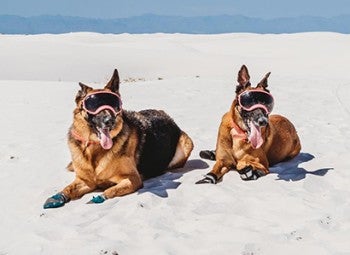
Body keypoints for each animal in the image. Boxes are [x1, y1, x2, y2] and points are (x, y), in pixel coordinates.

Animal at [43, 68, 194, 208]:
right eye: (93, 105)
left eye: (115, 104)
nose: (109, 121)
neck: (94, 148)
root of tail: (167, 116)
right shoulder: (85, 181)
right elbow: (68, 188)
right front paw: (57, 197)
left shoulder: (133, 178)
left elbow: (112, 190)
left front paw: (100, 197)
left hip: (186, 144)